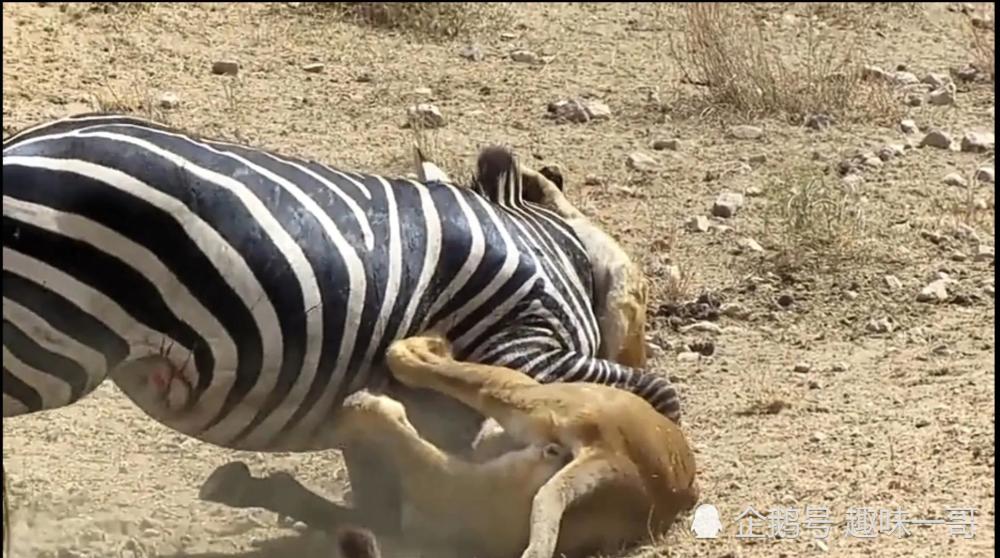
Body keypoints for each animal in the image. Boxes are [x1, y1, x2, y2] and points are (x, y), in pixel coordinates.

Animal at [3, 112, 680, 528]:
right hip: (40, 342)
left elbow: (390, 477)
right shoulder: (525, 346)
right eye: (646, 304)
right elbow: (656, 398)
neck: (558, 254)